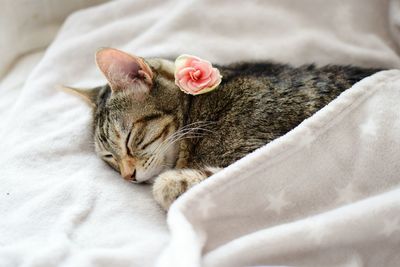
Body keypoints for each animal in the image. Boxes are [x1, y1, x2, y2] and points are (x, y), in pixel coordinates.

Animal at [65, 48, 382, 211]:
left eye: (130, 139)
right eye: (109, 158)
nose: (127, 176)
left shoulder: (262, 154)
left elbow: (171, 184)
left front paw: (171, 185)